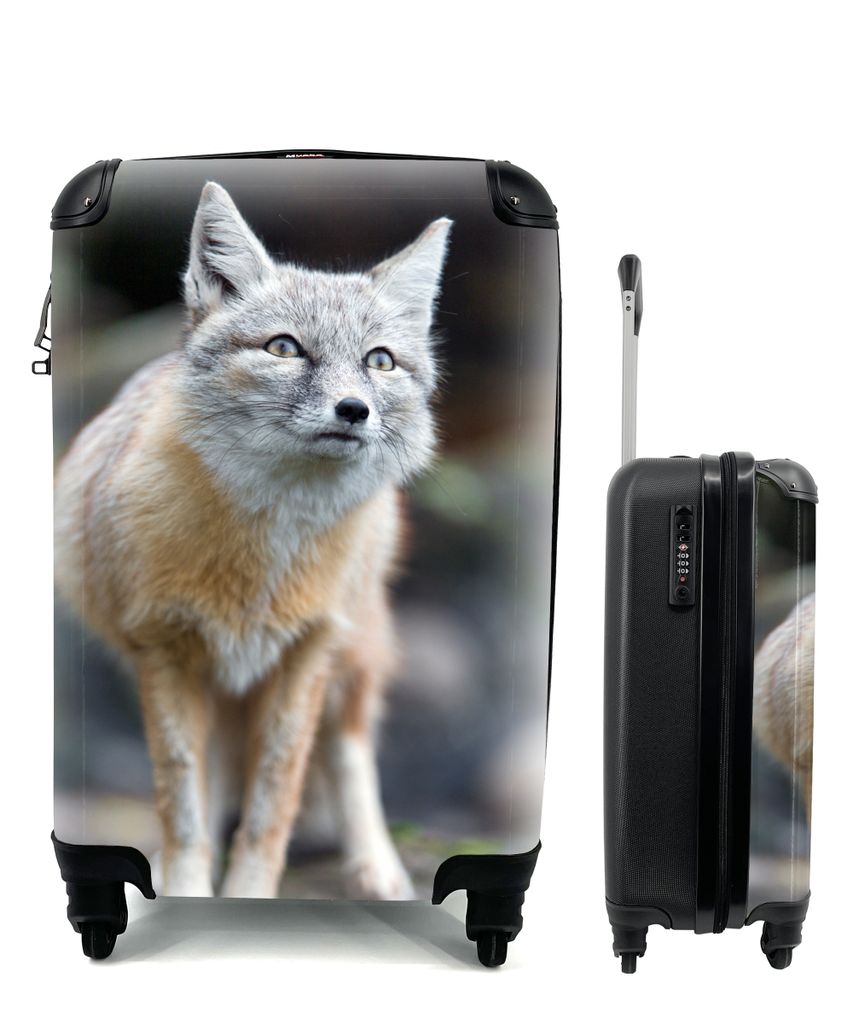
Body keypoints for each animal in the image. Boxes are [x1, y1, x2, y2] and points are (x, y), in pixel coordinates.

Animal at [54, 181, 452, 899]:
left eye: (379, 361)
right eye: (284, 349)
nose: (354, 410)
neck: (262, 561)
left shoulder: (304, 657)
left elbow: (275, 801)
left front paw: (247, 895)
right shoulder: (165, 652)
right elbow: (183, 803)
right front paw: (188, 889)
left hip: (350, 659)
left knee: (349, 752)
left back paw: (377, 867)